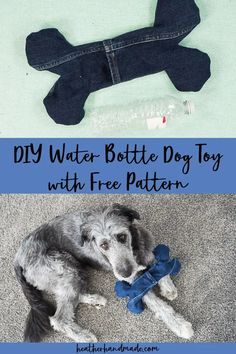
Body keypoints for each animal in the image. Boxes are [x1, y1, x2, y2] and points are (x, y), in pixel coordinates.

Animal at [13, 203, 193, 342]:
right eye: (103, 245)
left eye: (122, 236)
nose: (125, 272)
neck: (135, 251)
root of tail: (18, 259)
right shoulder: (135, 284)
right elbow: (158, 304)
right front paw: (179, 325)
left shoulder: (149, 251)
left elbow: (160, 267)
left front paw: (168, 288)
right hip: (64, 266)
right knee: (58, 318)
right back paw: (85, 336)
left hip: (73, 269)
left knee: (71, 296)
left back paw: (95, 299)